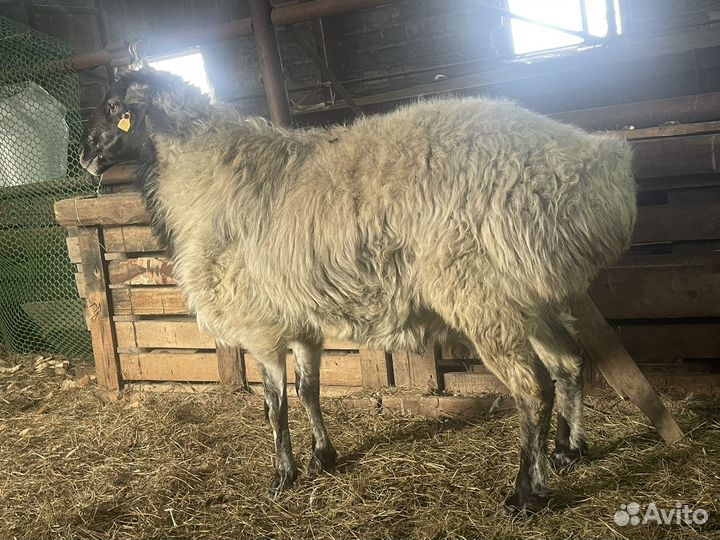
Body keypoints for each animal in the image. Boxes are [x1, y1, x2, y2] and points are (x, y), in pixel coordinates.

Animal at [79, 68, 636, 512]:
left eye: (114, 108)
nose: (84, 154)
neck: (202, 174)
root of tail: (601, 169)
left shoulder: (259, 323)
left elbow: (274, 403)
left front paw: (283, 475)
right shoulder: (300, 321)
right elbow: (308, 389)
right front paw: (323, 457)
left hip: (482, 296)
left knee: (533, 388)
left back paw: (526, 493)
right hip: (530, 295)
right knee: (568, 365)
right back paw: (569, 450)